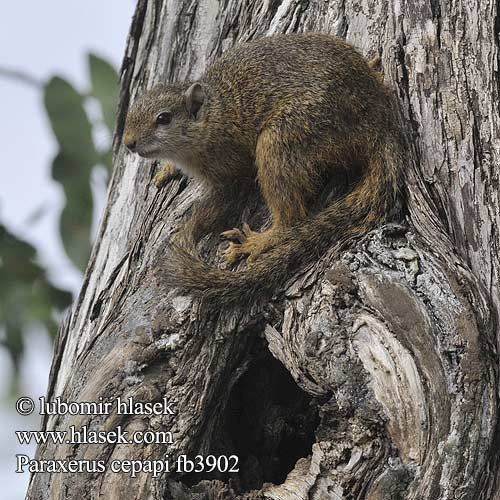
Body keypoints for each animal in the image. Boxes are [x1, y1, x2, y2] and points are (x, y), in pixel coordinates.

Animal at [123, 33, 404, 306]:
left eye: (164, 119)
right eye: (132, 111)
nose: (128, 142)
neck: (213, 115)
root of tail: (377, 119)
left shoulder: (229, 165)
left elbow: (228, 196)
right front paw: (168, 168)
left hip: (288, 135)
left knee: (291, 216)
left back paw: (260, 242)